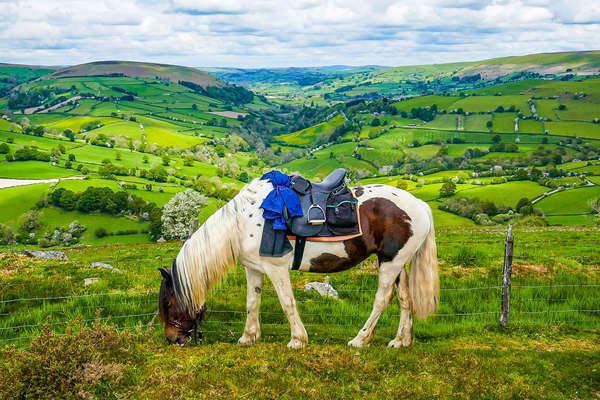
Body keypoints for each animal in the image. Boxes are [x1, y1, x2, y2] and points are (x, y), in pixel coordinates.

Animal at [158, 178, 440, 346]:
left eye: (169, 303)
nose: (173, 340)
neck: (242, 222)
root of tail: (419, 205)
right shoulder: (254, 269)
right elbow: (252, 302)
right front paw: (248, 337)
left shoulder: (276, 268)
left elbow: (287, 302)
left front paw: (297, 339)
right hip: (396, 262)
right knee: (405, 299)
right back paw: (401, 341)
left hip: (390, 263)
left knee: (382, 299)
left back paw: (360, 340)